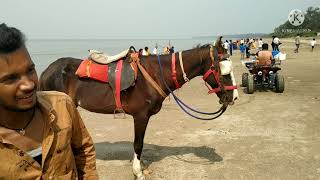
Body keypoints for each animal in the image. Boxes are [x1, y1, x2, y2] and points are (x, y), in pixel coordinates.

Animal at [39, 37, 238, 179]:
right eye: (223, 70)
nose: (233, 97)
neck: (155, 74)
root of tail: (47, 70)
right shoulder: (140, 116)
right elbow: (138, 144)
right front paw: (138, 172)